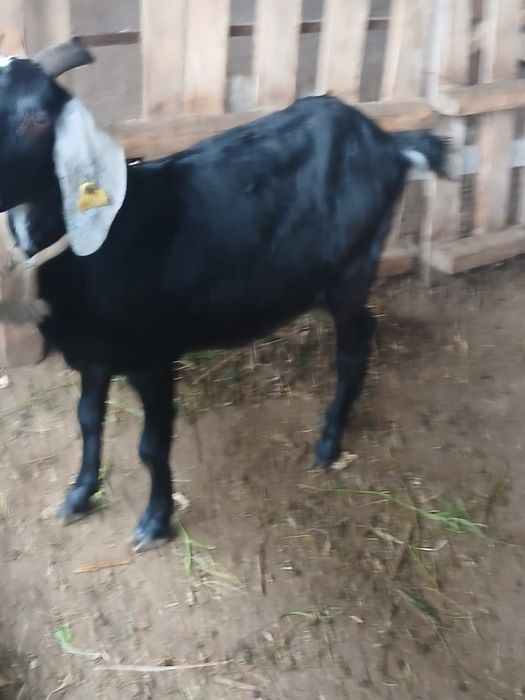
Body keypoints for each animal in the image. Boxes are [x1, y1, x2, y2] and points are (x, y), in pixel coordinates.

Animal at [0, 44, 449, 550]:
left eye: (37, 117)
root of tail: (389, 143)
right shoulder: (92, 356)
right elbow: (88, 421)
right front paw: (79, 495)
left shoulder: (153, 356)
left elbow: (151, 446)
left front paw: (155, 522)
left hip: (351, 269)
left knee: (355, 345)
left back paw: (330, 440)